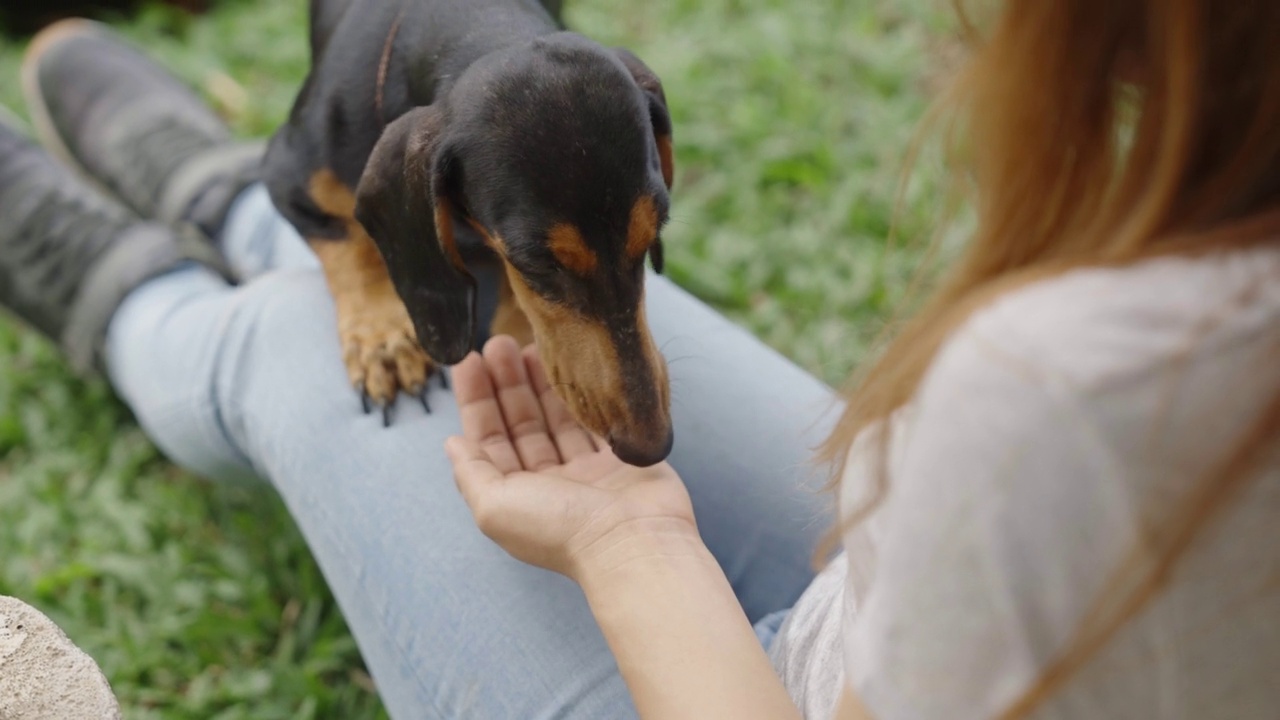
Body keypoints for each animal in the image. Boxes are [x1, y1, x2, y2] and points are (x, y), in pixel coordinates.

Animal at [262, 0, 680, 466]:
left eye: (651, 235)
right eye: (537, 263)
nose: (651, 447)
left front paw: (515, 332)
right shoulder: (286, 176)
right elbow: (351, 248)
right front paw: (383, 341)